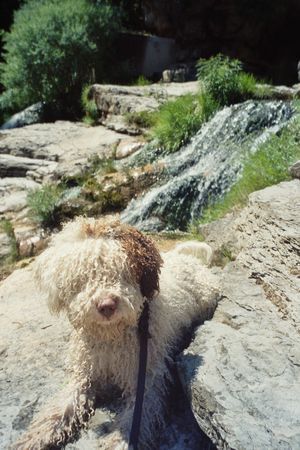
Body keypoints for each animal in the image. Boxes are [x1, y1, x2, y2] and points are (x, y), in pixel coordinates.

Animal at [13, 218, 218, 450]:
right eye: (82, 276)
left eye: (124, 271)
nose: (107, 305)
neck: (111, 338)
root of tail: (186, 257)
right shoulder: (86, 373)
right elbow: (63, 407)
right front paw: (35, 437)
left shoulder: (147, 378)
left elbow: (135, 417)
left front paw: (119, 443)